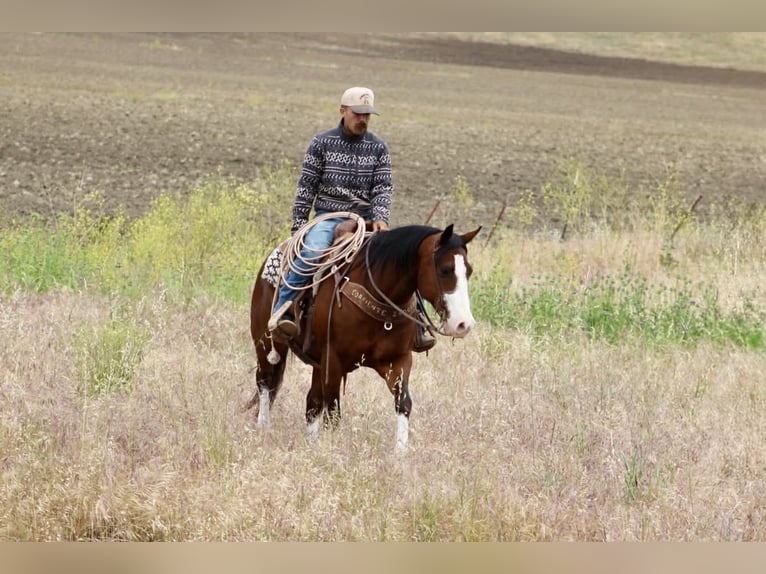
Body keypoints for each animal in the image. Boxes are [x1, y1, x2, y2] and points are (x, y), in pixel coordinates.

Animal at [247, 217, 481, 452]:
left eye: (469, 271)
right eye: (445, 269)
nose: (464, 324)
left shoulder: (398, 360)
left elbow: (403, 402)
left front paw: (400, 452)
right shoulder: (333, 360)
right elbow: (333, 411)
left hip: (317, 363)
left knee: (312, 402)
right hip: (265, 343)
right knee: (265, 382)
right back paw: (263, 427)